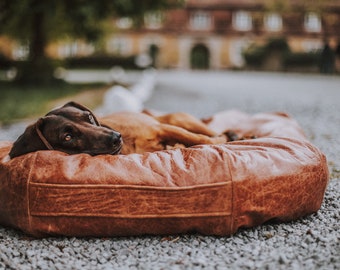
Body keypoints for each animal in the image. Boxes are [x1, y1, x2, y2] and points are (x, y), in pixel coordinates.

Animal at [8, 101, 226, 157]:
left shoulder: (163, 128)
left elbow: (200, 139)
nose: (116, 137)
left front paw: (218, 141)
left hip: (177, 118)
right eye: (67, 137)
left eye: (89, 117)